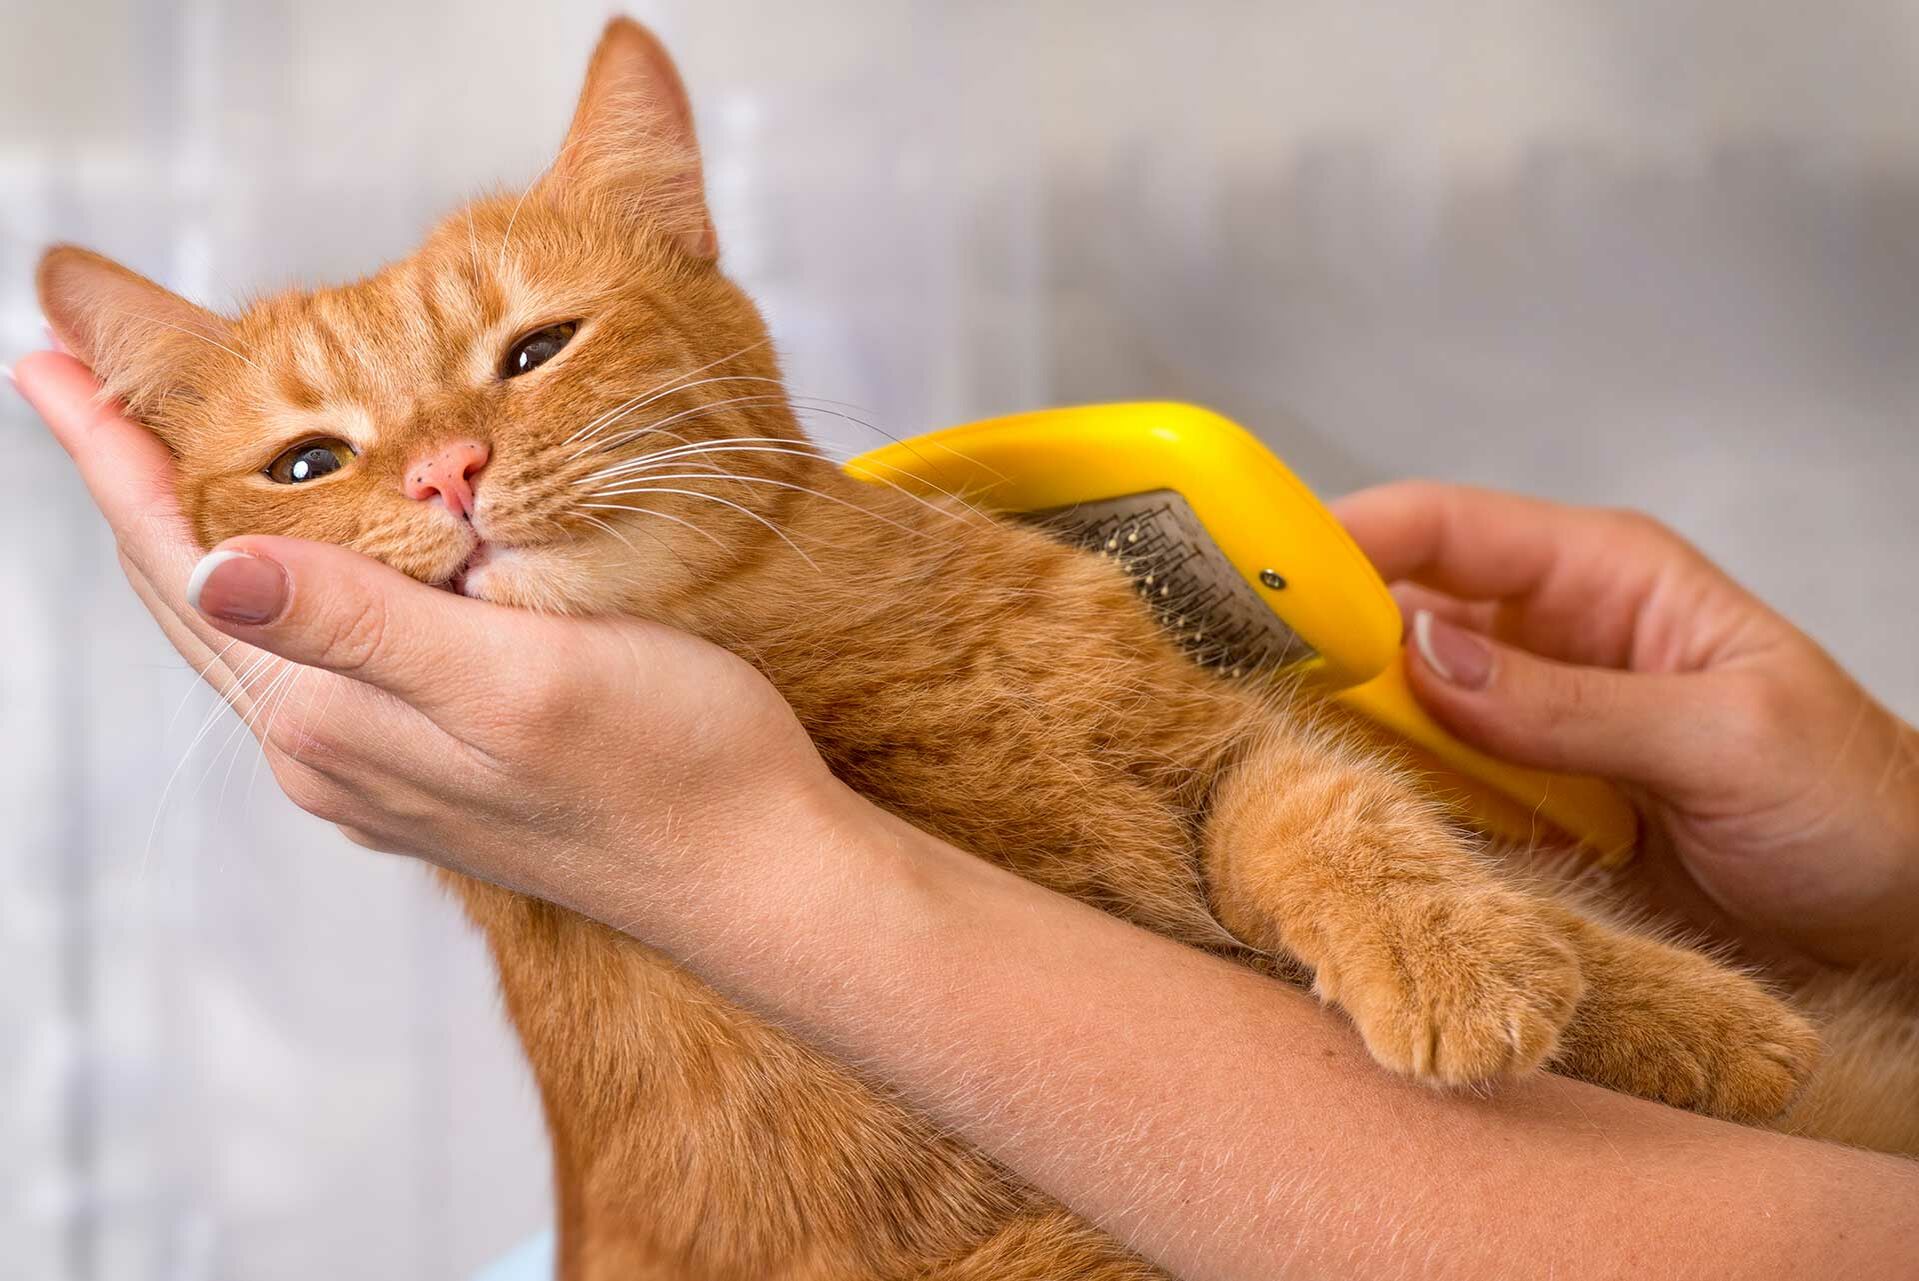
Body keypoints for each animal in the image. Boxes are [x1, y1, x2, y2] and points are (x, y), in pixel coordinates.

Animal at [37, 20, 1911, 1281]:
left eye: (533, 350)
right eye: (309, 466)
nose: (445, 473)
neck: (840, 623)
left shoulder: (1215, 740)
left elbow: (1339, 818)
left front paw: (1591, 986)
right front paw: (1611, 1001)